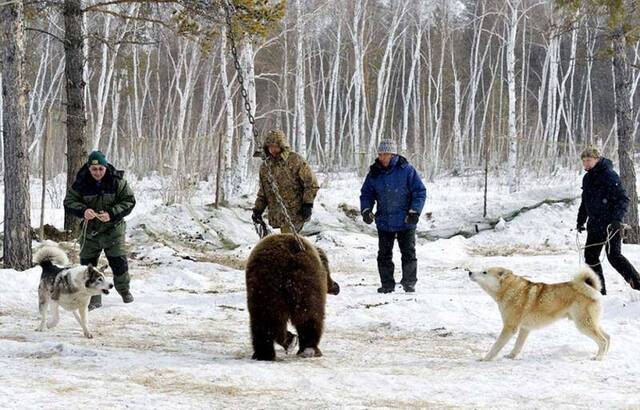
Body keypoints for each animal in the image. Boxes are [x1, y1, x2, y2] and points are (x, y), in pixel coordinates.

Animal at [245, 232, 340, 360]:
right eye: (329, 271)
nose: (336, 287)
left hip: (263, 288)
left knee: (262, 320)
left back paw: (265, 353)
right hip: (305, 284)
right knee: (309, 316)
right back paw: (309, 349)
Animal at [470, 266, 608, 358]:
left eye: (484, 272)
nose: (470, 272)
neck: (510, 290)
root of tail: (592, 290)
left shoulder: (510, 327)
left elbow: (496, 346)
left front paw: (485, 359)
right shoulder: (525, 328)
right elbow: (517, 345)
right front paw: (511, 356)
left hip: (583, 324)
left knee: (603, 340)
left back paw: (598, 358)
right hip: (591, 322)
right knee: (608, 337)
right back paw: (604, 355)